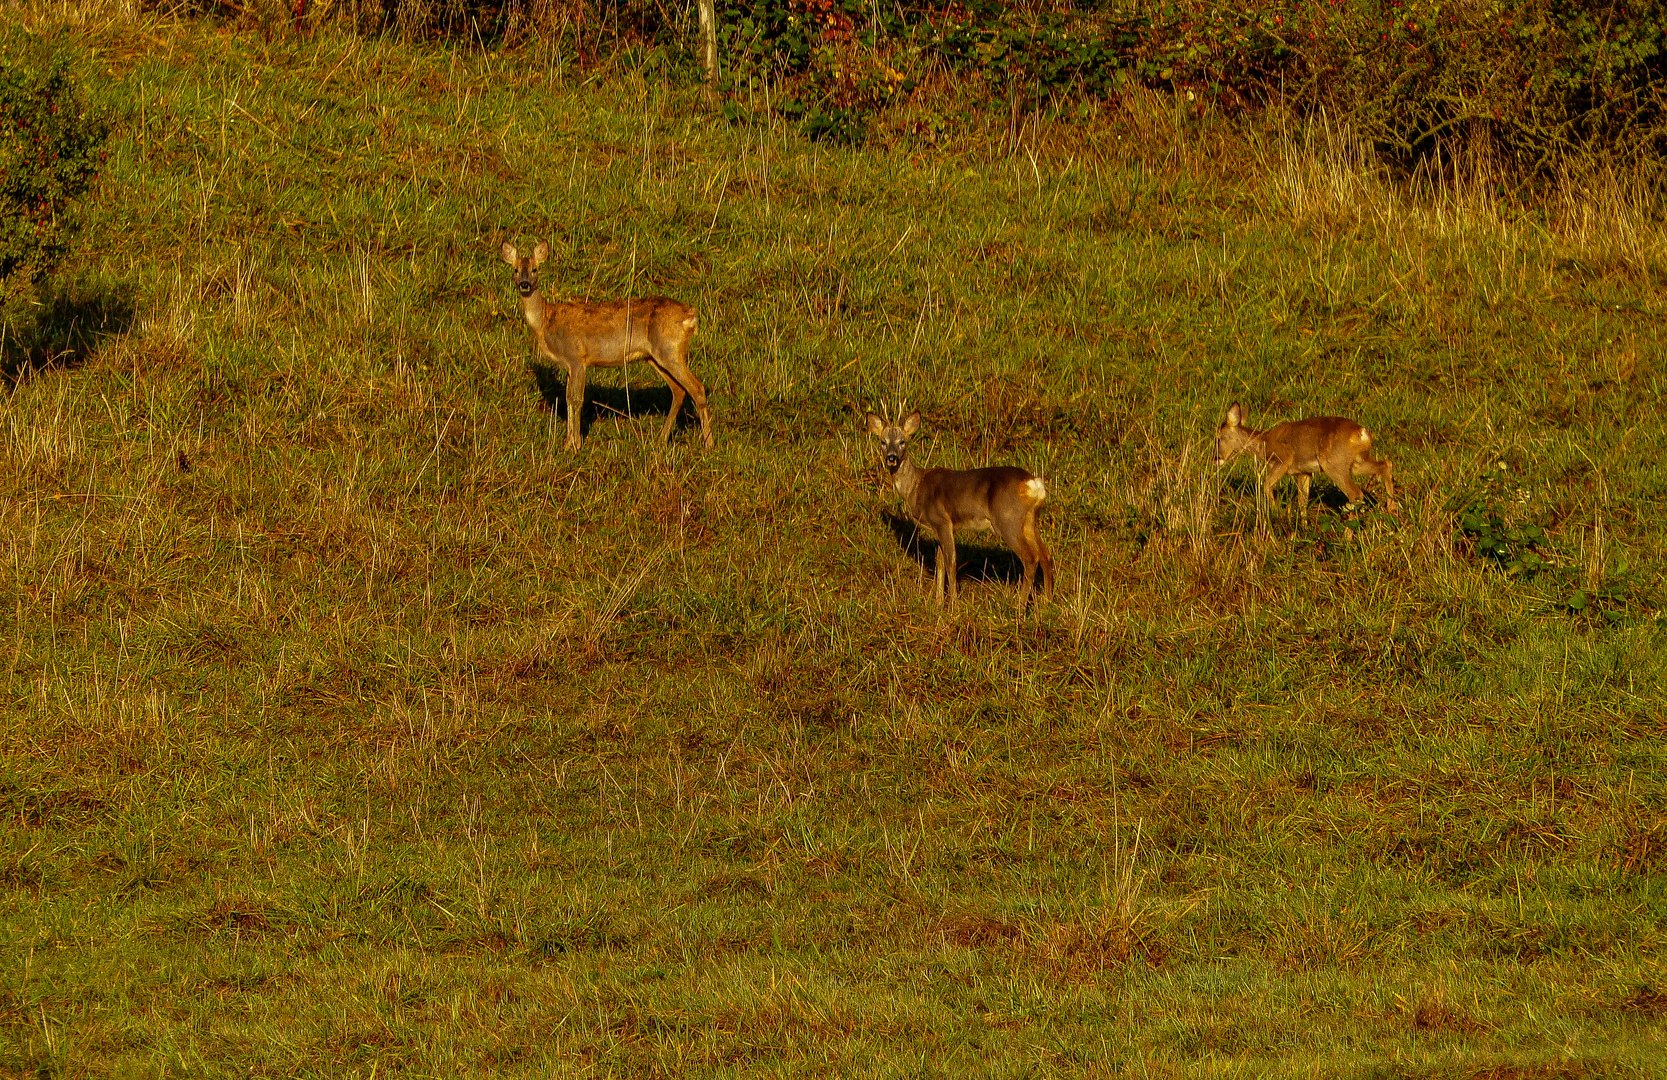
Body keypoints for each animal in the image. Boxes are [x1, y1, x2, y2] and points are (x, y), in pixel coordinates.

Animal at [506, 238, 716, 450]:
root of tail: (691, 316)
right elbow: (567, 399)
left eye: (535, 269)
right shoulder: (568, 364)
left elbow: (576, 399)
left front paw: (576, 445)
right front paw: (567, 443)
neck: (546, 321)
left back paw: (709, 443)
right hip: (655, 356)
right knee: (679, 390)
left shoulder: (577, 357)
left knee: (697, 388)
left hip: (670, 349)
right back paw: (660, 439)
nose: (524, 284)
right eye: (515, 270)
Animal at [866, 413, 1046, 613]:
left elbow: (951, 562)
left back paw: (1020, 608)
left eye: (902, 441)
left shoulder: (942, 521)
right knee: (1046, 556)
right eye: (883, 441)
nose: (891, 458)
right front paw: (938, 604)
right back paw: (1048, 599)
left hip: (1008, 520)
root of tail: (1034, 483)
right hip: (1029, 521)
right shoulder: (938, 527)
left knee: (1031, 558)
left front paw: (953, 605)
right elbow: (940, 563)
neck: (916, 487)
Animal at [1213, 405, 1393, 523]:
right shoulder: (1304, 472)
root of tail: (1362, 433)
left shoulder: (1283, 459)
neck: (1264, 443)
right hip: (1356, 462)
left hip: (1334, 463)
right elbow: (1302, 501)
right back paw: (1392, 509)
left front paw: (1278, 513)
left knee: (1355, 493)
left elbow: (1266, 484)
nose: (1216, 458)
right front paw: (1304, 526)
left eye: (1219, 438)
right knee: (1385, 464)